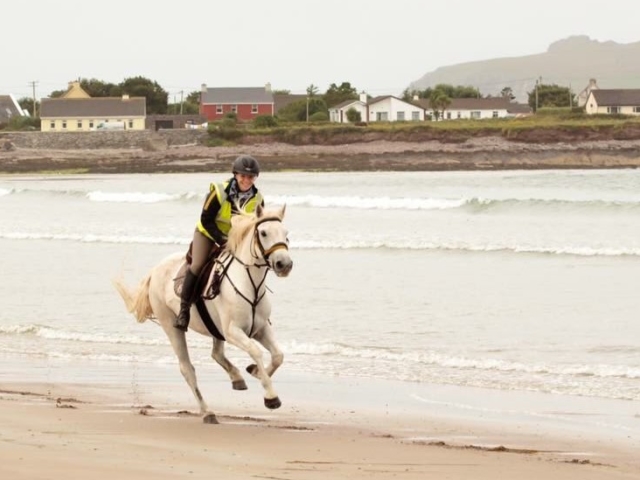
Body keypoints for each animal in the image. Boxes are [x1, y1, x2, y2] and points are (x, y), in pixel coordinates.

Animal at [114, 204, 292, 422]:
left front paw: (255, 371)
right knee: (187, 368)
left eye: (286, 234)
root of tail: (155, 270)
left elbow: (278, 356)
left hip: (215, 328)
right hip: (171, 326)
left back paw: (237, 378)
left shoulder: (260, 328)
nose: (284, 264)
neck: (250, 283)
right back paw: (207, 412)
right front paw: (271, 397)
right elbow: (256, 351)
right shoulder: (233, 332)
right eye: (264, 232)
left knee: (216, 353)